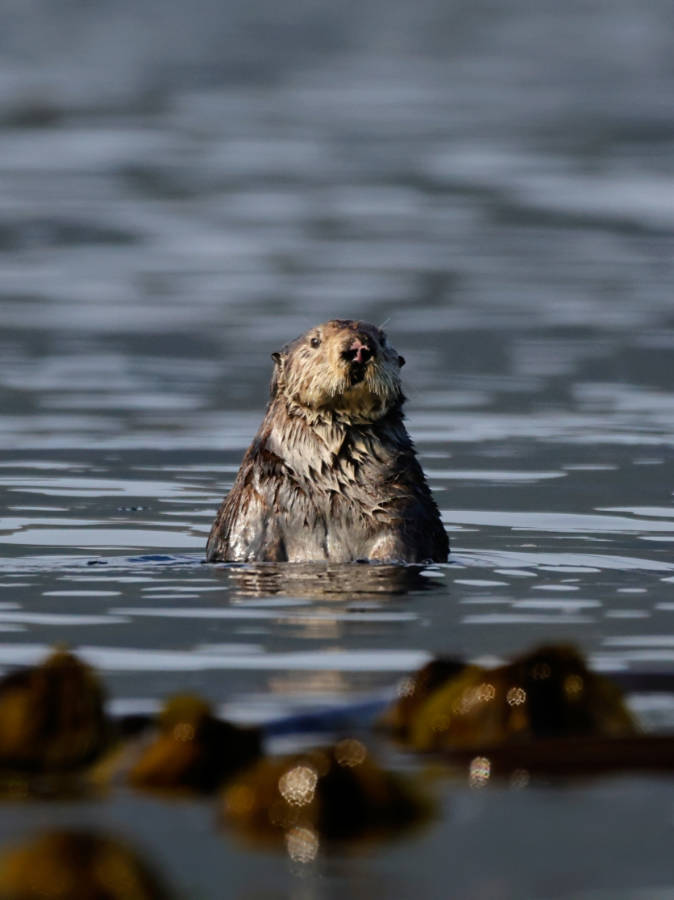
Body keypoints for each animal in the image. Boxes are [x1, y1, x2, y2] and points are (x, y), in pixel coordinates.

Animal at [206, 319, 448, 564]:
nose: (359, 348)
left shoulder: (405, 506)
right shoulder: (254, 506)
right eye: (315, 340)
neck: (331, 482)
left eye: (382, 340)